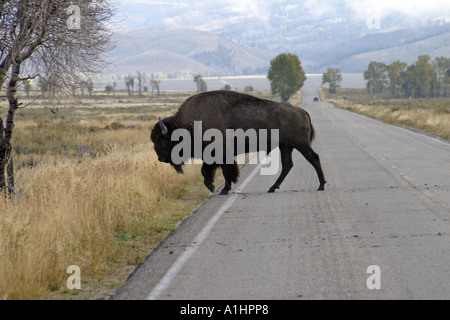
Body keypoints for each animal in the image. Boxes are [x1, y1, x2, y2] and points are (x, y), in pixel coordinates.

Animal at [151, 90, 326, 195]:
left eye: (164, 142)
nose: (160, 158)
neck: (190, 124)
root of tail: (302, 111)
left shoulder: (221, 154)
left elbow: (226, 171)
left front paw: (223, 189)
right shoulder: (212, 156)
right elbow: (206, 171)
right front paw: (212, 187)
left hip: (300, 145)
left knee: (314, 158)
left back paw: (321, 185)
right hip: (286, 146)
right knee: (287, 165)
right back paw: (272, 188)